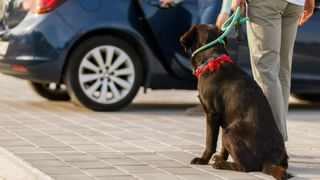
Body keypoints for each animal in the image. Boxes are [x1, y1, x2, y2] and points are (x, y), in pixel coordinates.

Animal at [181, 24, 288, 180]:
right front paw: (220, 157)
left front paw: (203, 159)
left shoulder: (212, 115)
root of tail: (271, 157)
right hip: (230, 129)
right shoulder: (225, 120)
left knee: (246, 167)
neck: (212, 59)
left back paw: (222, 165)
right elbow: (223, 147)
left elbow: (210, 142)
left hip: (230, 132)